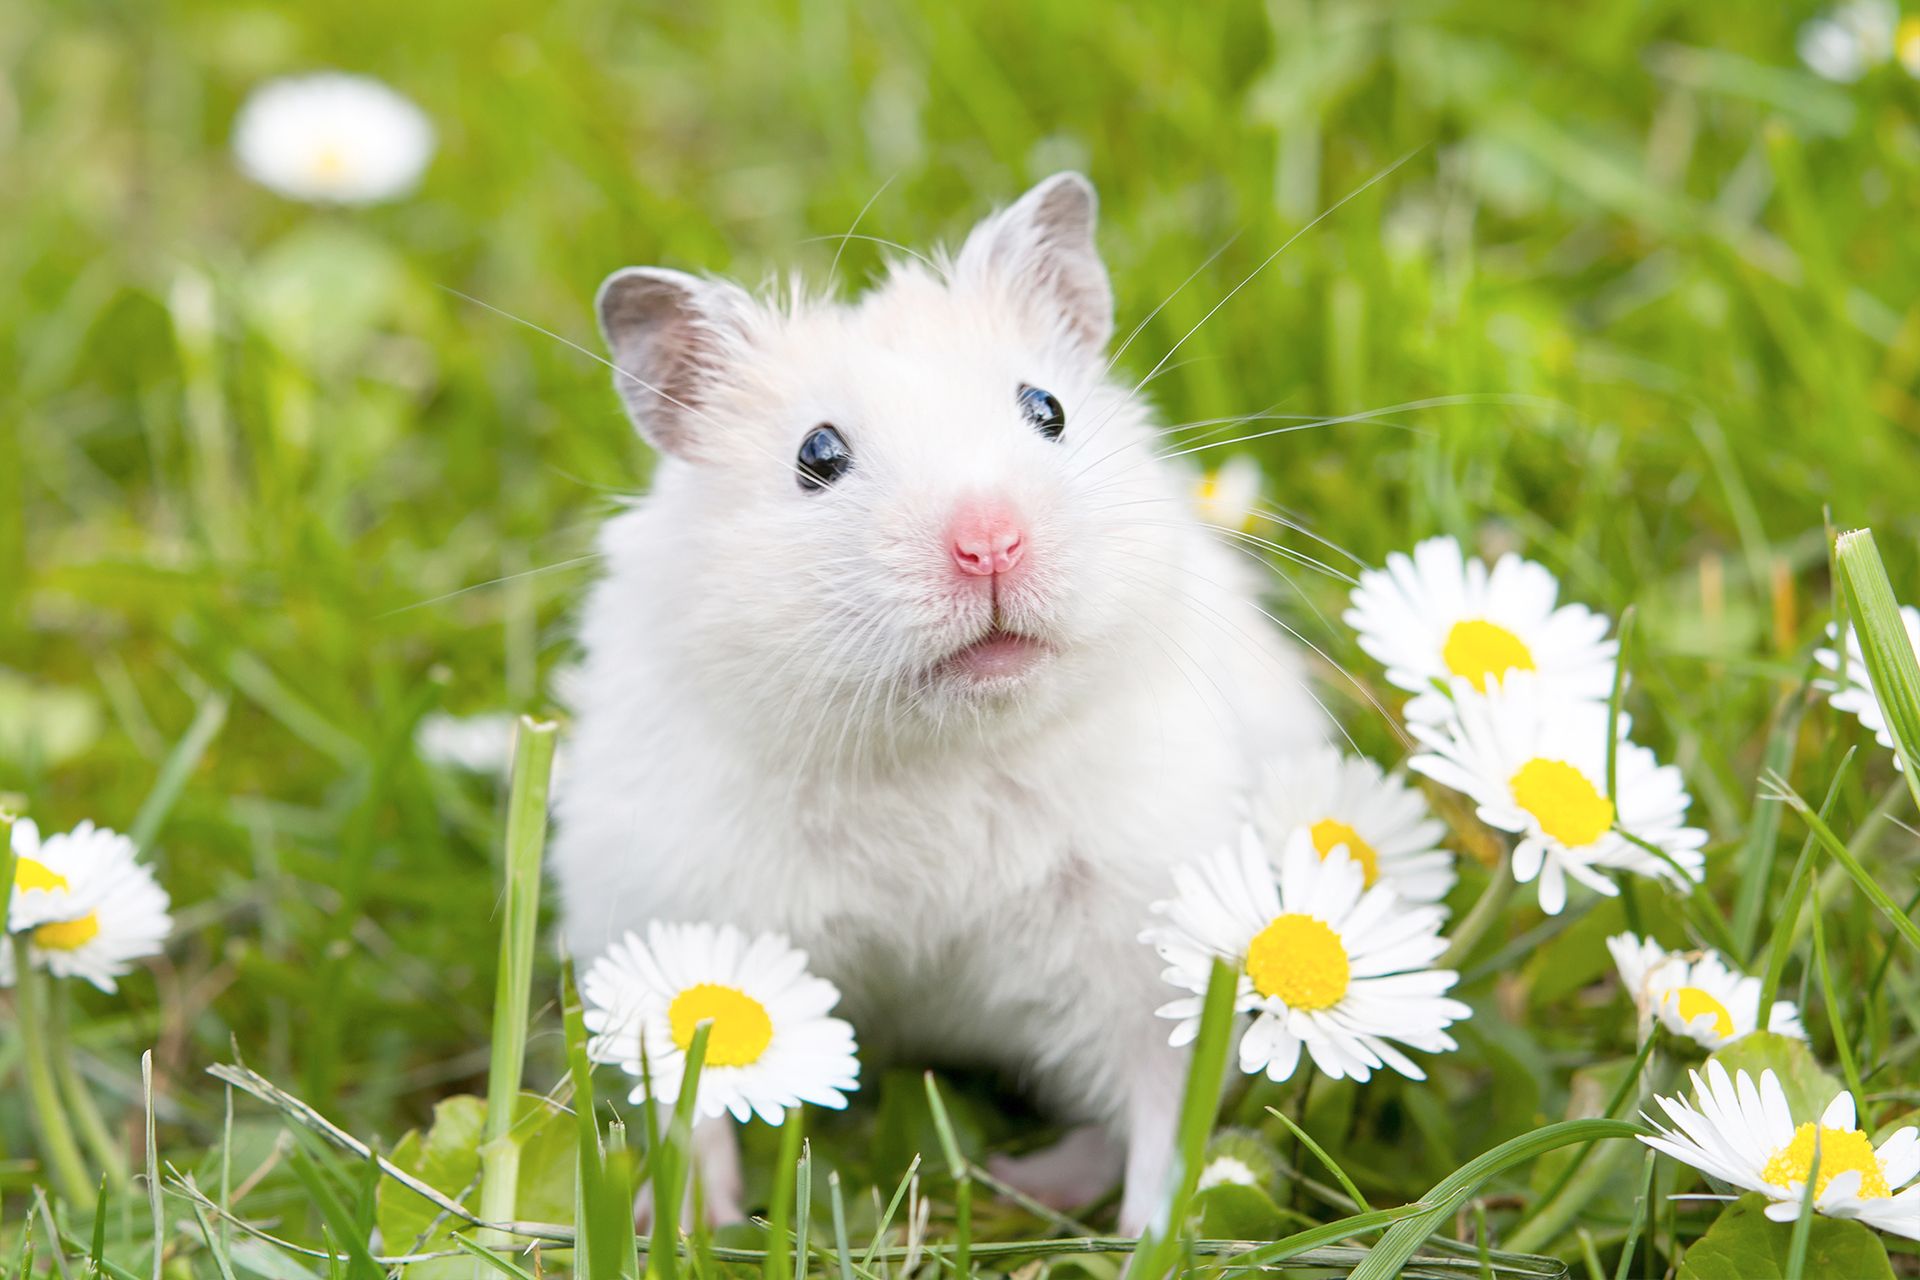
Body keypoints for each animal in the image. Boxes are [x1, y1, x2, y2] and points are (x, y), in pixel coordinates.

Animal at [551, 173, 1328, 1232]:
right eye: (818, 453)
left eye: (1047, 408)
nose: (990, 543)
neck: (939, 750)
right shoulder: (678, 912)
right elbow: (691, 1095)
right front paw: (690, 1223)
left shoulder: (1144, 940)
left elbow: (1166, 1105)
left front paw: (1150, 1237)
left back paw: (1025, 1182)